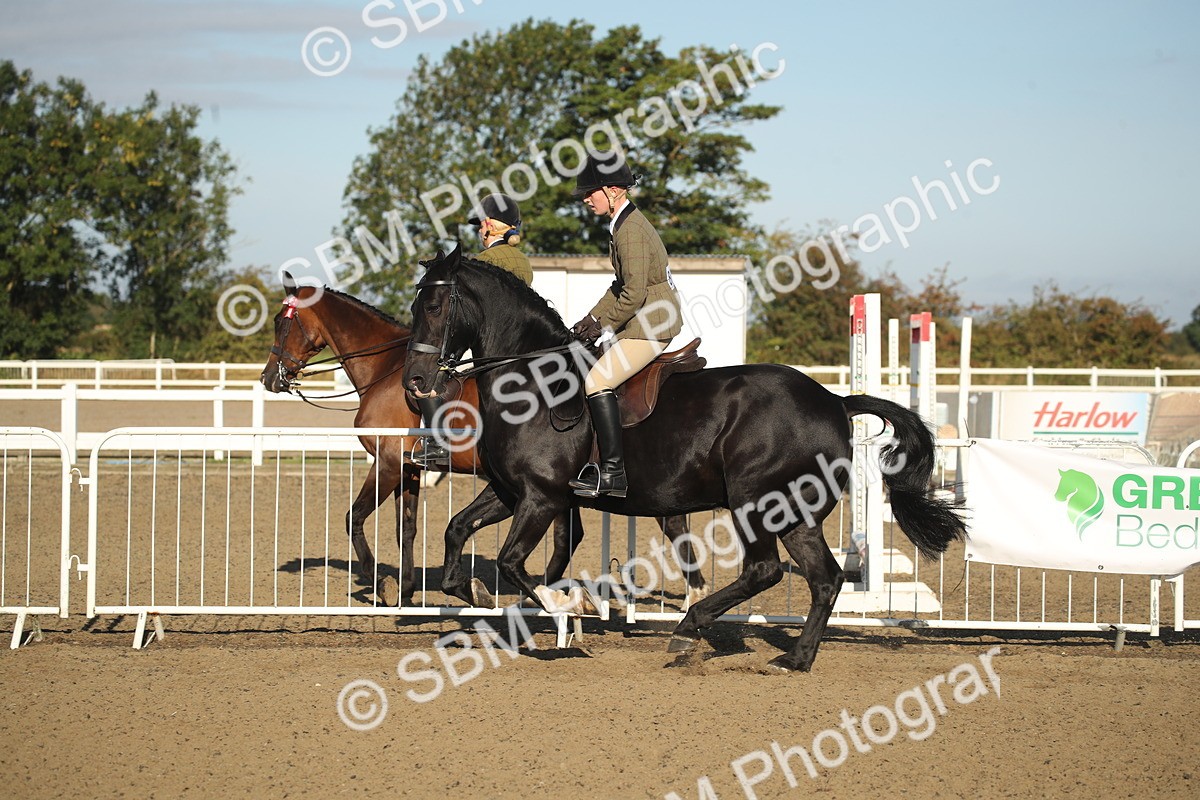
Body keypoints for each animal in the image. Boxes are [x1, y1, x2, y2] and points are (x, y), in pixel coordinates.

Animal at [258, 279, 706, 608]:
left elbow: (355, 517)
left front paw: (379, 584)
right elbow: (408, 528)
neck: (385, 370)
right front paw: (407, 590)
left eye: (282, 322)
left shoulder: (387, 462)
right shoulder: (410, 469)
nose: (269, 377)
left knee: (653, 527)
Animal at [402, 246, 968, 672]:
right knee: (822, 577)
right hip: (796, 512)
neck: (532, 380)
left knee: (765, 571)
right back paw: (795, 659)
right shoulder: (510, 491)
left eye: (434, 307)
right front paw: (476, 595)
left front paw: (569, 608)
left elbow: (513, 562)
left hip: (756, 501)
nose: (415, 382)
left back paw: (689, 630)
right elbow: (456, 533)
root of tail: (834, 400)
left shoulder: (542, 498)